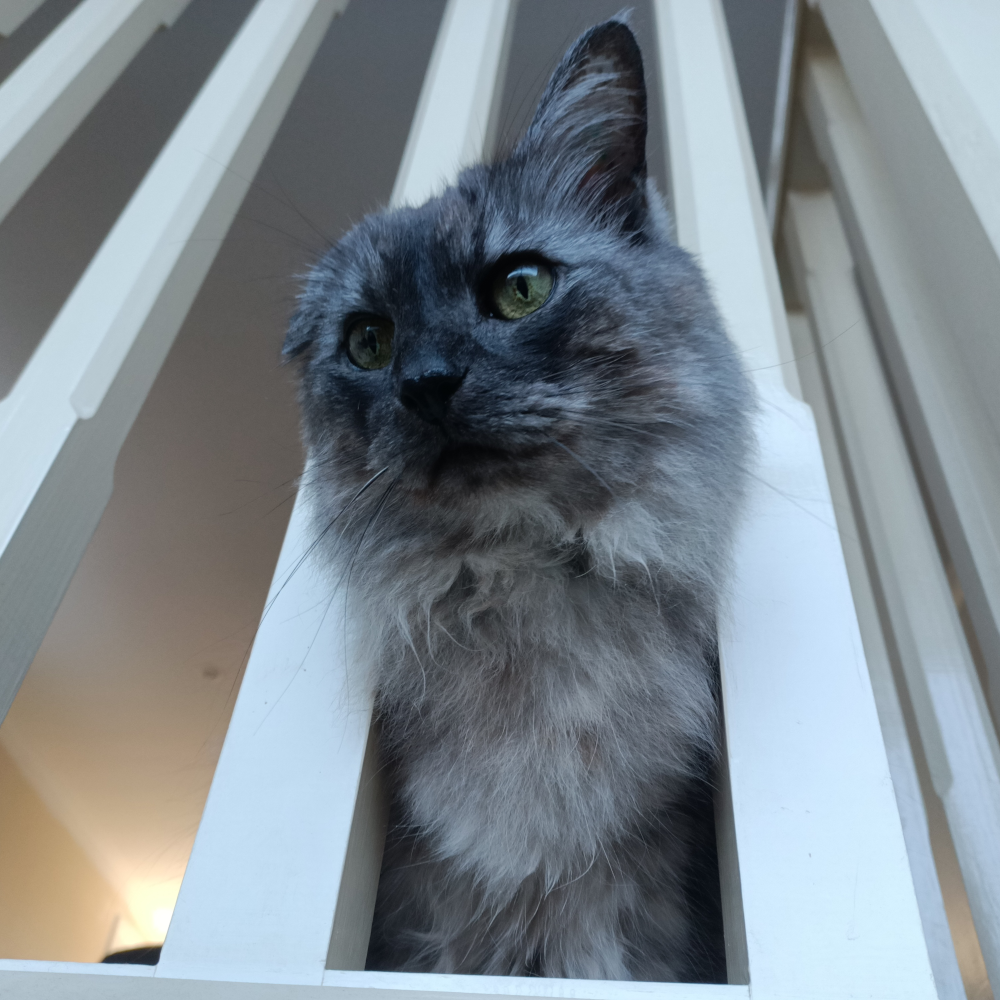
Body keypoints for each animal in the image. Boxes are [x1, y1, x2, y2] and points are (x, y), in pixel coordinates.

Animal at [282, 17, 752, 984]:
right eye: (369, 343)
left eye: (520, 288)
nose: (427, 384)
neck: (518, 579)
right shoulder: (432, 928)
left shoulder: (621, 922)